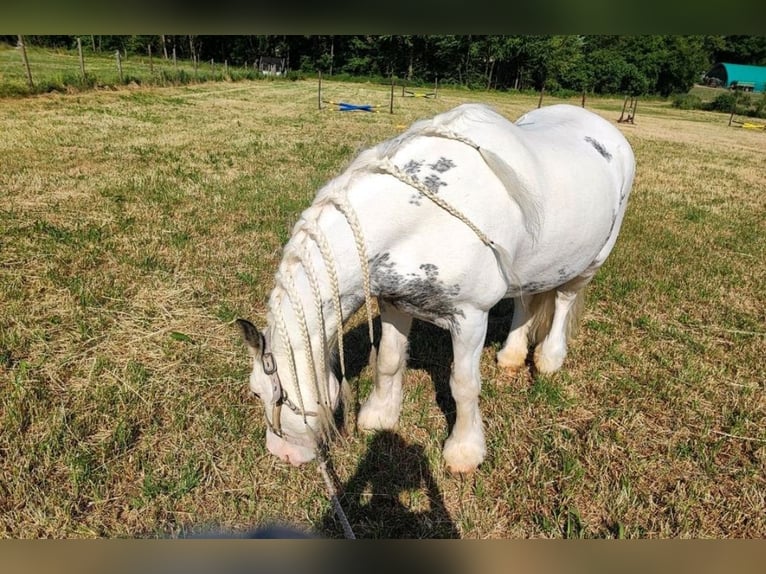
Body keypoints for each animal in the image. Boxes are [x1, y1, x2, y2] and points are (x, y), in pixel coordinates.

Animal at [238, 102, 636, 472]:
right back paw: (511, 356)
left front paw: (464, 451)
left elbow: (463, 385)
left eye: (259, 393)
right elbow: (389, 360)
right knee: (525, 303)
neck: (421, 219)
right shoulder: (395, 302)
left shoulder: (471, 319)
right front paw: (380, 416)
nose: (281, 454)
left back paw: (549, 359)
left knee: (565, 301)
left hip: (590, 263)